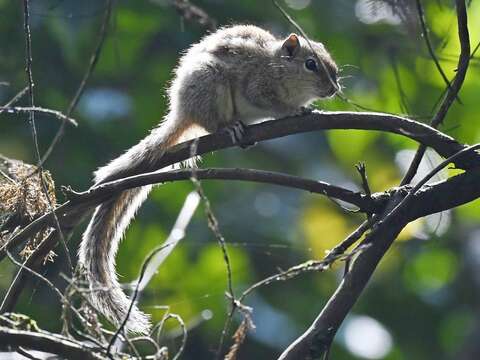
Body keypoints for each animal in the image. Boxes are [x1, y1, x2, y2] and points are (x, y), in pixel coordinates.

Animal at [79, 25, 338, 334]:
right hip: (211, 84)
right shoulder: (257, 86)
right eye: (311, 64)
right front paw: (295, 111)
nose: (334, 89)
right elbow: (270, 103)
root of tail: (182, 110)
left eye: (332, 66)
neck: (278, 67)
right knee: (211, 123)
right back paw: (230, 126)